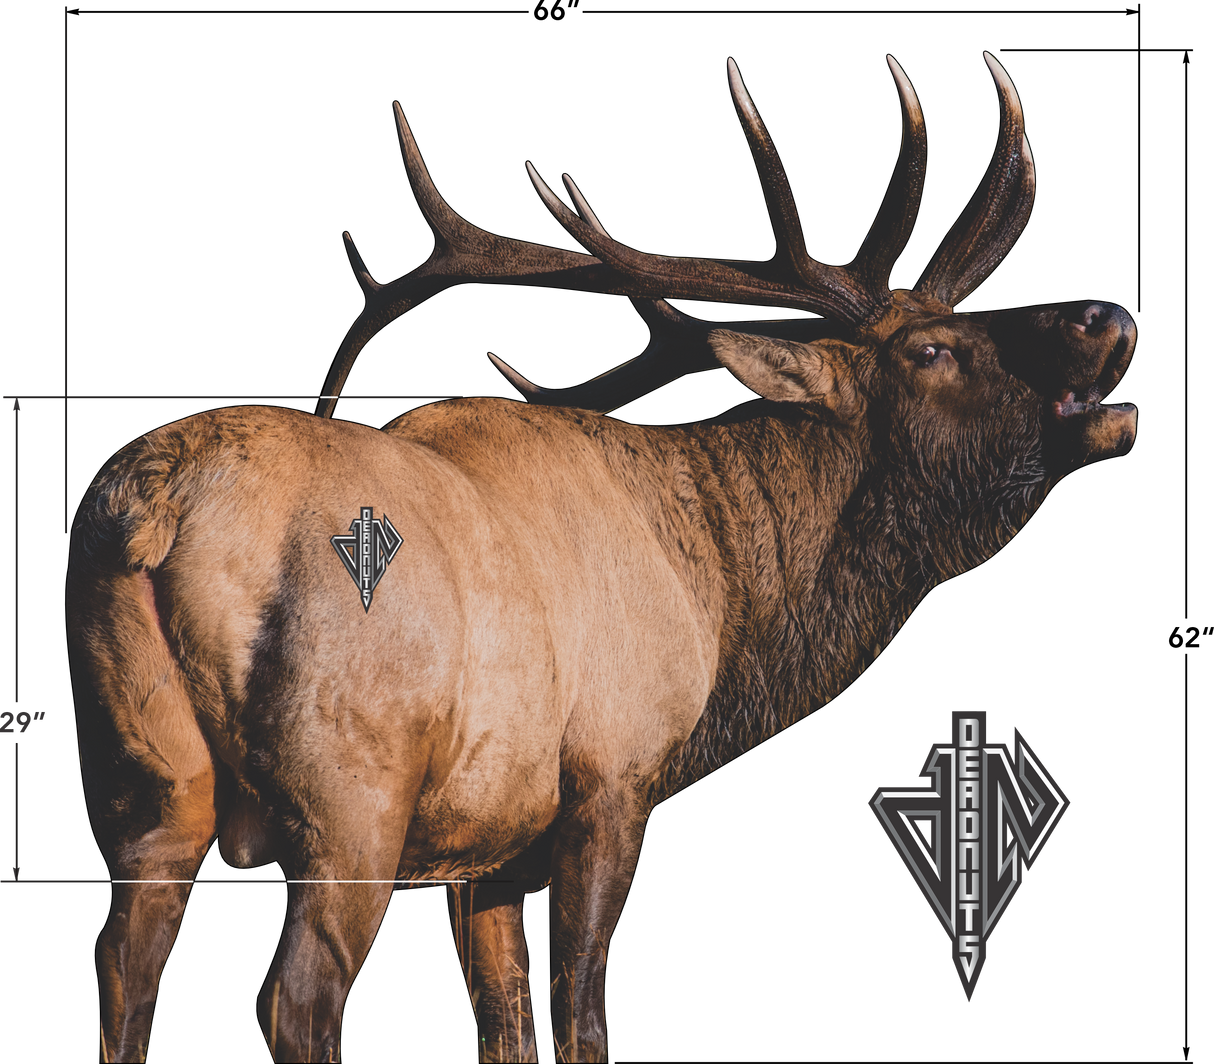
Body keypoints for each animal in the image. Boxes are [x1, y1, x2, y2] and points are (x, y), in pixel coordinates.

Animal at [68, 53, 1135, 1061]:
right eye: (929, 350)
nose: (1108, 317)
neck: (714, 600)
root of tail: (155, 507)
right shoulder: (613, 777)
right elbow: (581, 1011)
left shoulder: (489, 847)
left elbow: (505, 1024)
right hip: (350, 792)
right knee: (298, 998)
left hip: (141, 781)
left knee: (121, 966)